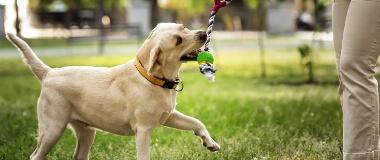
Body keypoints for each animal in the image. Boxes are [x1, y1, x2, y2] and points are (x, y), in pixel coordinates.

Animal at [6, 22, 220, 160]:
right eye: (178, 41)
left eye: (184, 28)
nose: (203, 34)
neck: (151, 78)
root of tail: (49, 73)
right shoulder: (143, 130)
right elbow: (144, 155)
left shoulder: (169, 116)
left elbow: (196, 122)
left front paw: (210, 143)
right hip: (53, 128)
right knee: (36, 156)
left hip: (86, 132)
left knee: (78, 155)